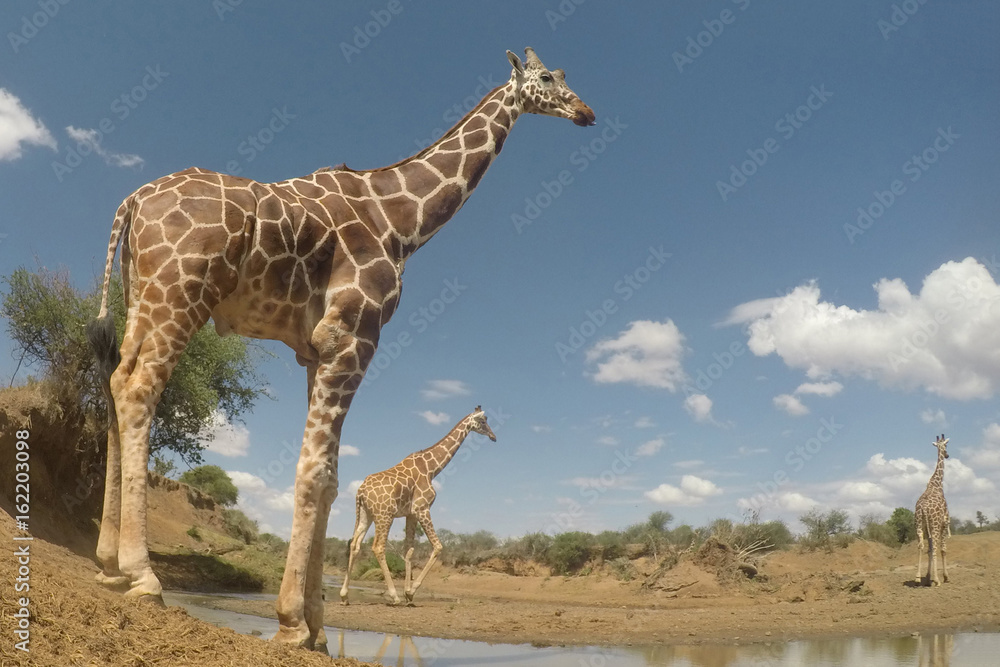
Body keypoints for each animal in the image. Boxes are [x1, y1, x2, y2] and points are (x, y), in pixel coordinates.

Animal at [340, 406, 496, 605]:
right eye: (483, 421)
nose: (493, 436)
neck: (431, 469)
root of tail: (360, 492)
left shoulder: (410, 514)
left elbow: (409, 551)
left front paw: (408, 592)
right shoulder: (422, 508)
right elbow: (438, 546)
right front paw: (410, 591)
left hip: (366, 515)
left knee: (355, 544)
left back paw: (344, 596)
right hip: (384, 515)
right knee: (378, 547)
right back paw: (394, 596)